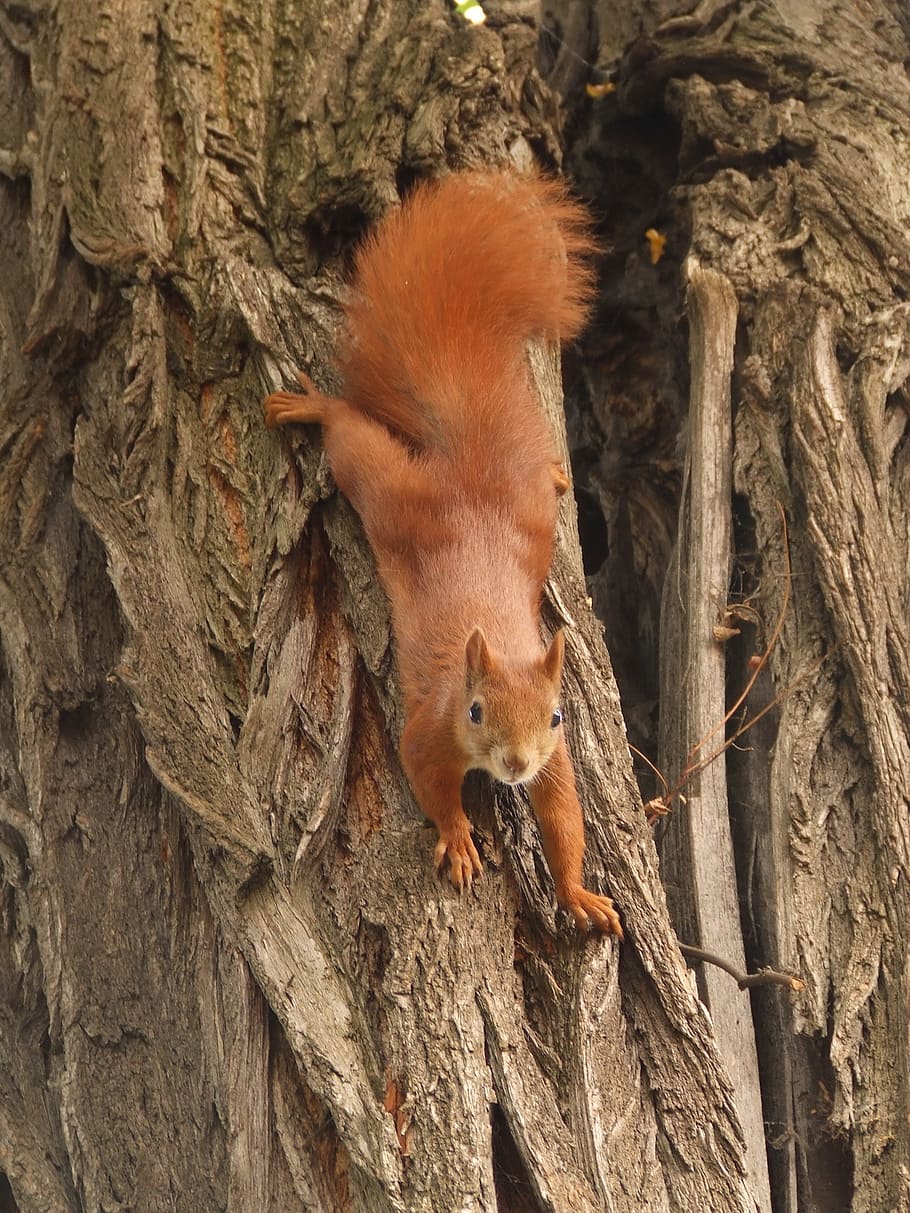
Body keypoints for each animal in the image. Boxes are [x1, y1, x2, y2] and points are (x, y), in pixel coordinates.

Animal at [264, 169, 622, 937]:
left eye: (556, 716)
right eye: (478, 711)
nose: (514, 764)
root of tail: (469, 484)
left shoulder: (556, 760)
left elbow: (563, 818)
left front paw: (577, 892)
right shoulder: (431, 729)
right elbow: (426, 778)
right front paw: (458, 836)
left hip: (529, 512)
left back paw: (556, 471)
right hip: (389, 493)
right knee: (351, 438)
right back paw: (313, 407)